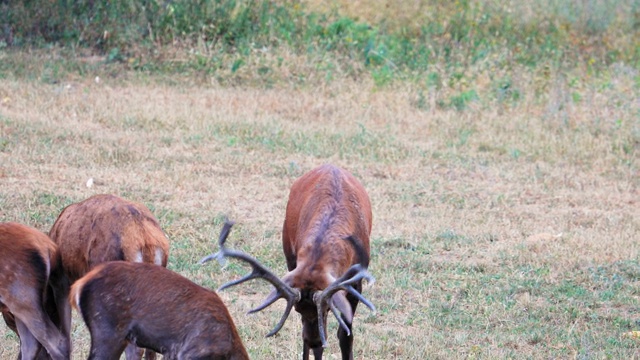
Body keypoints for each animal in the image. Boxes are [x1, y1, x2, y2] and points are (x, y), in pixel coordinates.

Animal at [201, 164, 376, 360]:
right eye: (297, 310)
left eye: (326, 310)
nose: (314, 342)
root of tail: (330, 165)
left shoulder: (356, 282)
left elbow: (345, 335)